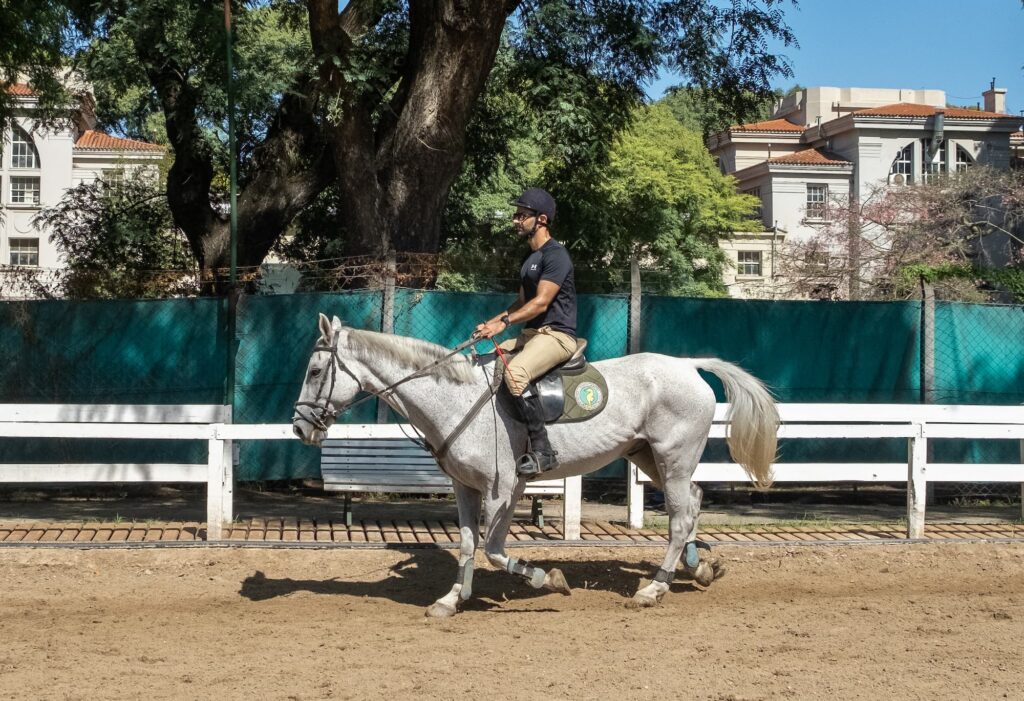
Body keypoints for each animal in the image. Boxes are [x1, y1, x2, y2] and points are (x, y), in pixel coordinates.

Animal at [294, 315, 774, 614]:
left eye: (315, 372)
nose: (300, 427)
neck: (453, 398)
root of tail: (687, 366)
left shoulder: (504, 489)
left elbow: (493, 548)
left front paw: (547, 578)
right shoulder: (465, 488)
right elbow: (467, 543)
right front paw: (453, 599)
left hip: (672, 457)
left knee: (677, 516)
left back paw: (654, 589)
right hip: (648, 456)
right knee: (691, 502)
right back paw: (698, 569)